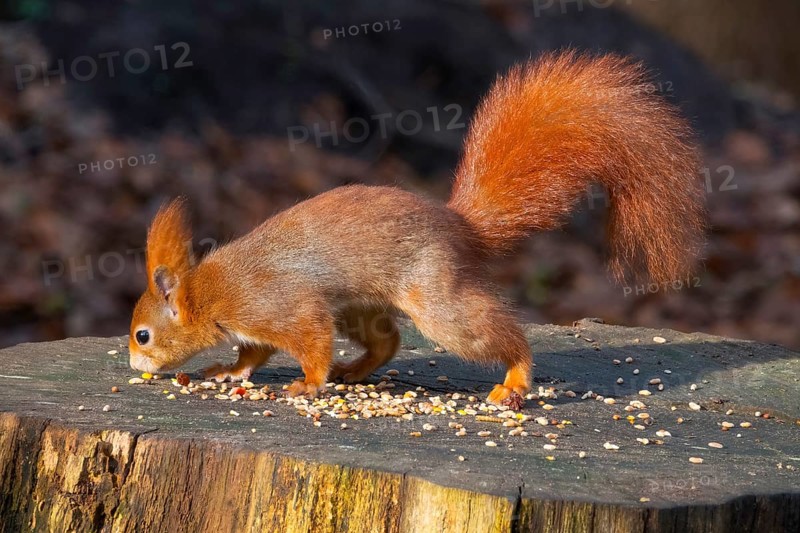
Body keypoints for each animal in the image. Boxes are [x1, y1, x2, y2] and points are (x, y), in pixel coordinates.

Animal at [128, 50, 705, 404]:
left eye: (143, 334)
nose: (135, 366)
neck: (209, 292)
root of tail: (460, 226)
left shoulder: (278, 305)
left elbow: (308, 341)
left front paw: (308, 384)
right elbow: (252, 352)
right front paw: (230, 372)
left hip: (437, 298)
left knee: (495, 333)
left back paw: (514, 378)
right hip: (361, 306)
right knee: (388, 342)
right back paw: (355, 370)